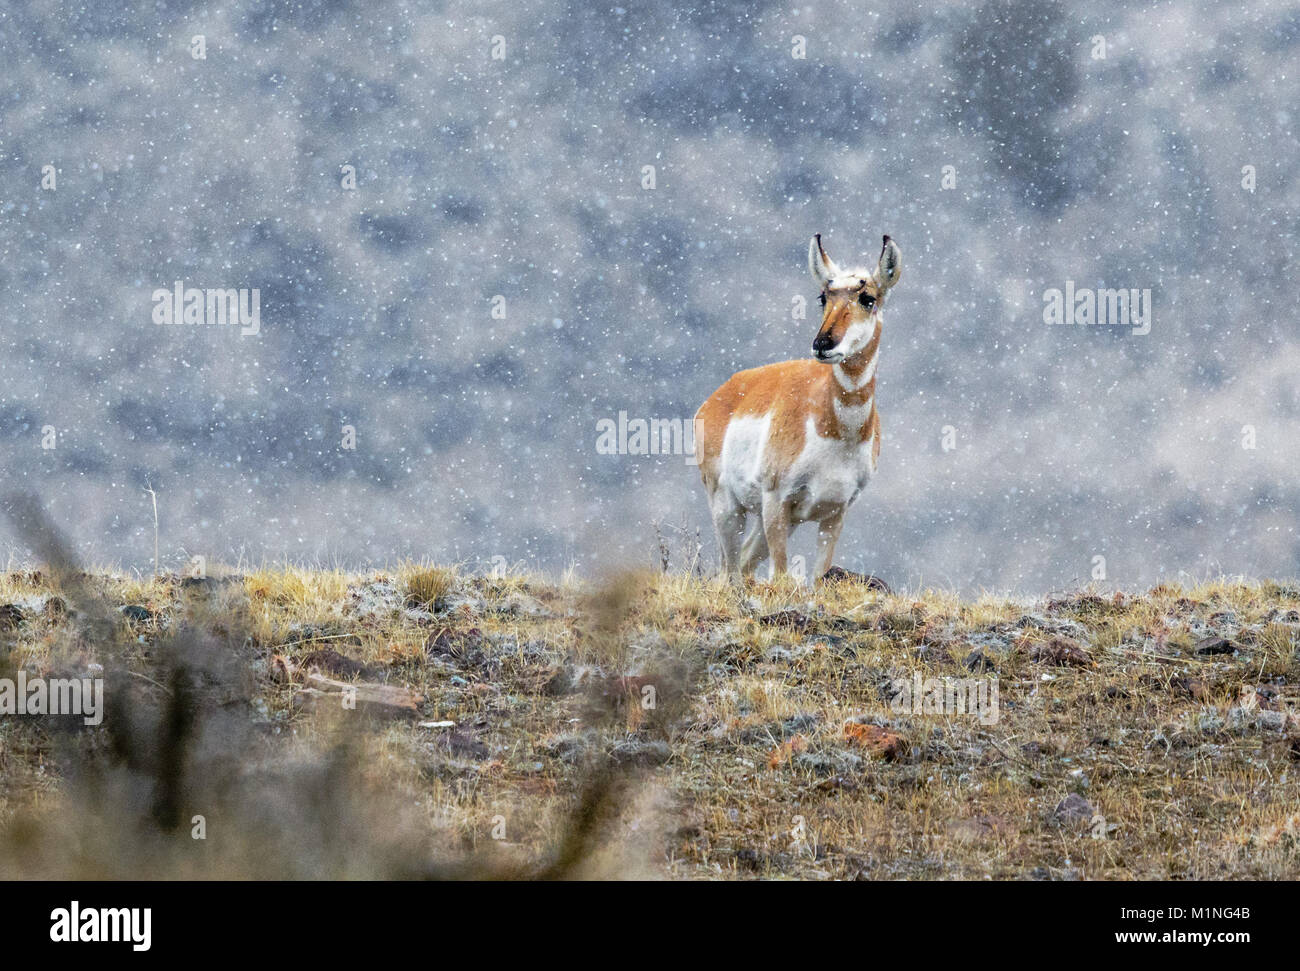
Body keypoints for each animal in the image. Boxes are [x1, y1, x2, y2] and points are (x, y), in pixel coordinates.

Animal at [691, 233, 904, 584]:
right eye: (823, 296)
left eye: (868, 298)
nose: (823, 343)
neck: (836, 432)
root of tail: (723, 392)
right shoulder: (777, 501)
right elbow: (780, 575)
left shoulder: (835, 512)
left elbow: (818, 577)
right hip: (728, 506)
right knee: (728, 572)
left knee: (744, 563)